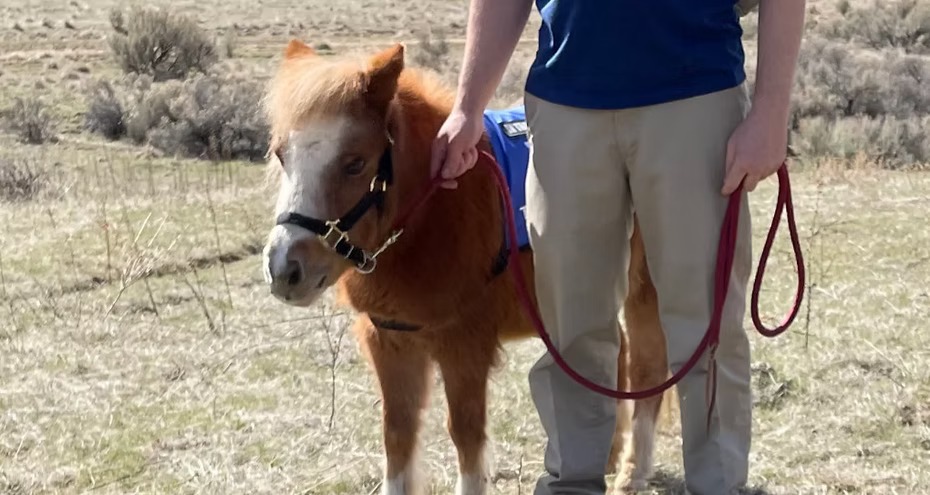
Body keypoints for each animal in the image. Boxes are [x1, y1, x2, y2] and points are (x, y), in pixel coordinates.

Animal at [261, 39, 673, 495]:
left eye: (355, 163)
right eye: (281, 155)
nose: (285, 269)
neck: (437, 212)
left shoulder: (465, 346)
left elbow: (466, 434)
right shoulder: (389, 343)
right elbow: (397, 434)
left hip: (646, 288)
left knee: (647, 367)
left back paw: (633, 470)